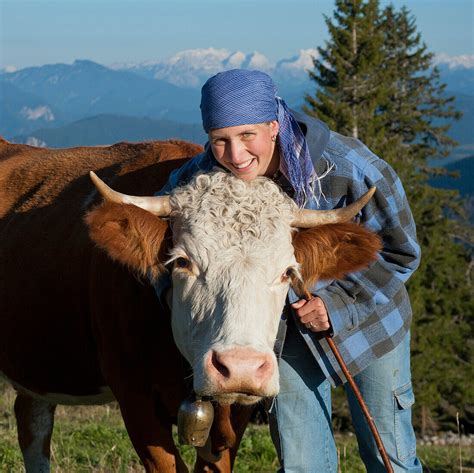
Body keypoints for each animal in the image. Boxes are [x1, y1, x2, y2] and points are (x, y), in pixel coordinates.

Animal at [0, 136, 380, 472]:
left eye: (287, 271)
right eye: (182, 262)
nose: (240, 367)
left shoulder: (234, 414)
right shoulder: (134, 398)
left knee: (33, 424)